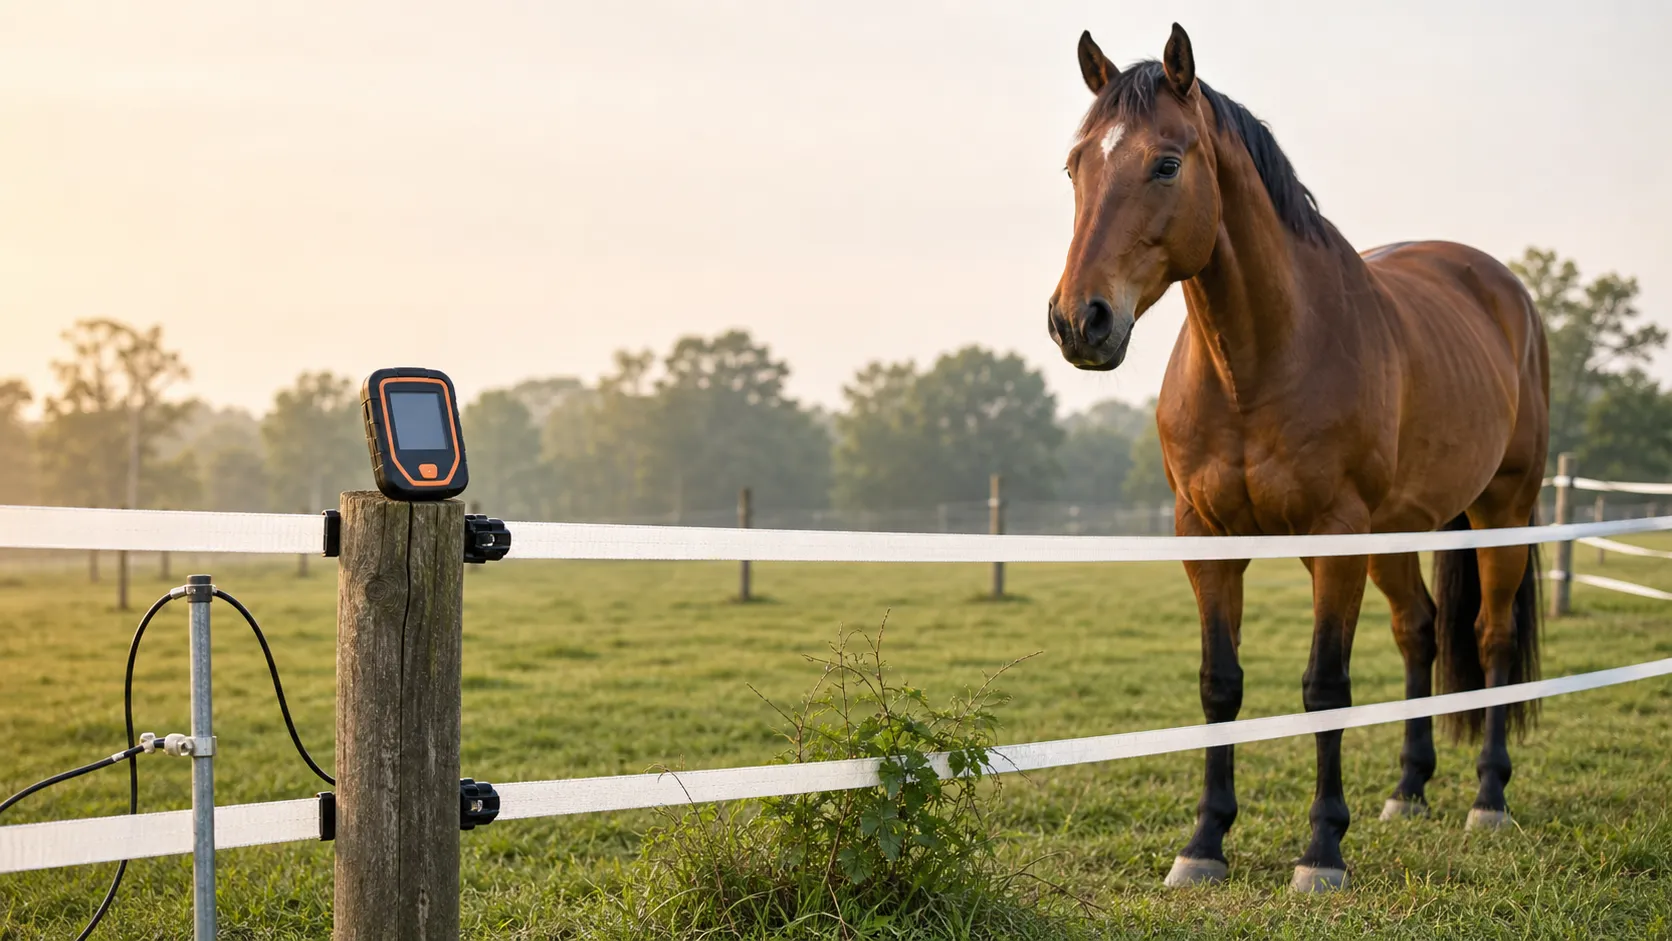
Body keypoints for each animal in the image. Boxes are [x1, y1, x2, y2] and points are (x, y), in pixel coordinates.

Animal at [1047, 24, 1549, 892]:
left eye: (1166, 163)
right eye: (1077, 164)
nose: (1082, 321)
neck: (1257, 364)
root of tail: (1504, 289)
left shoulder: (1334, 537)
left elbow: (1325, 688)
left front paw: (1321, 851)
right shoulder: (1205, 537)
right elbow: (1219, 685)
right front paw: (1203, 843)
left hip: (1502, 511)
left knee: (1489, 639)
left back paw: (1488, 799)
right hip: (1399, 531)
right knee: (1419, 629)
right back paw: (1409, 789)